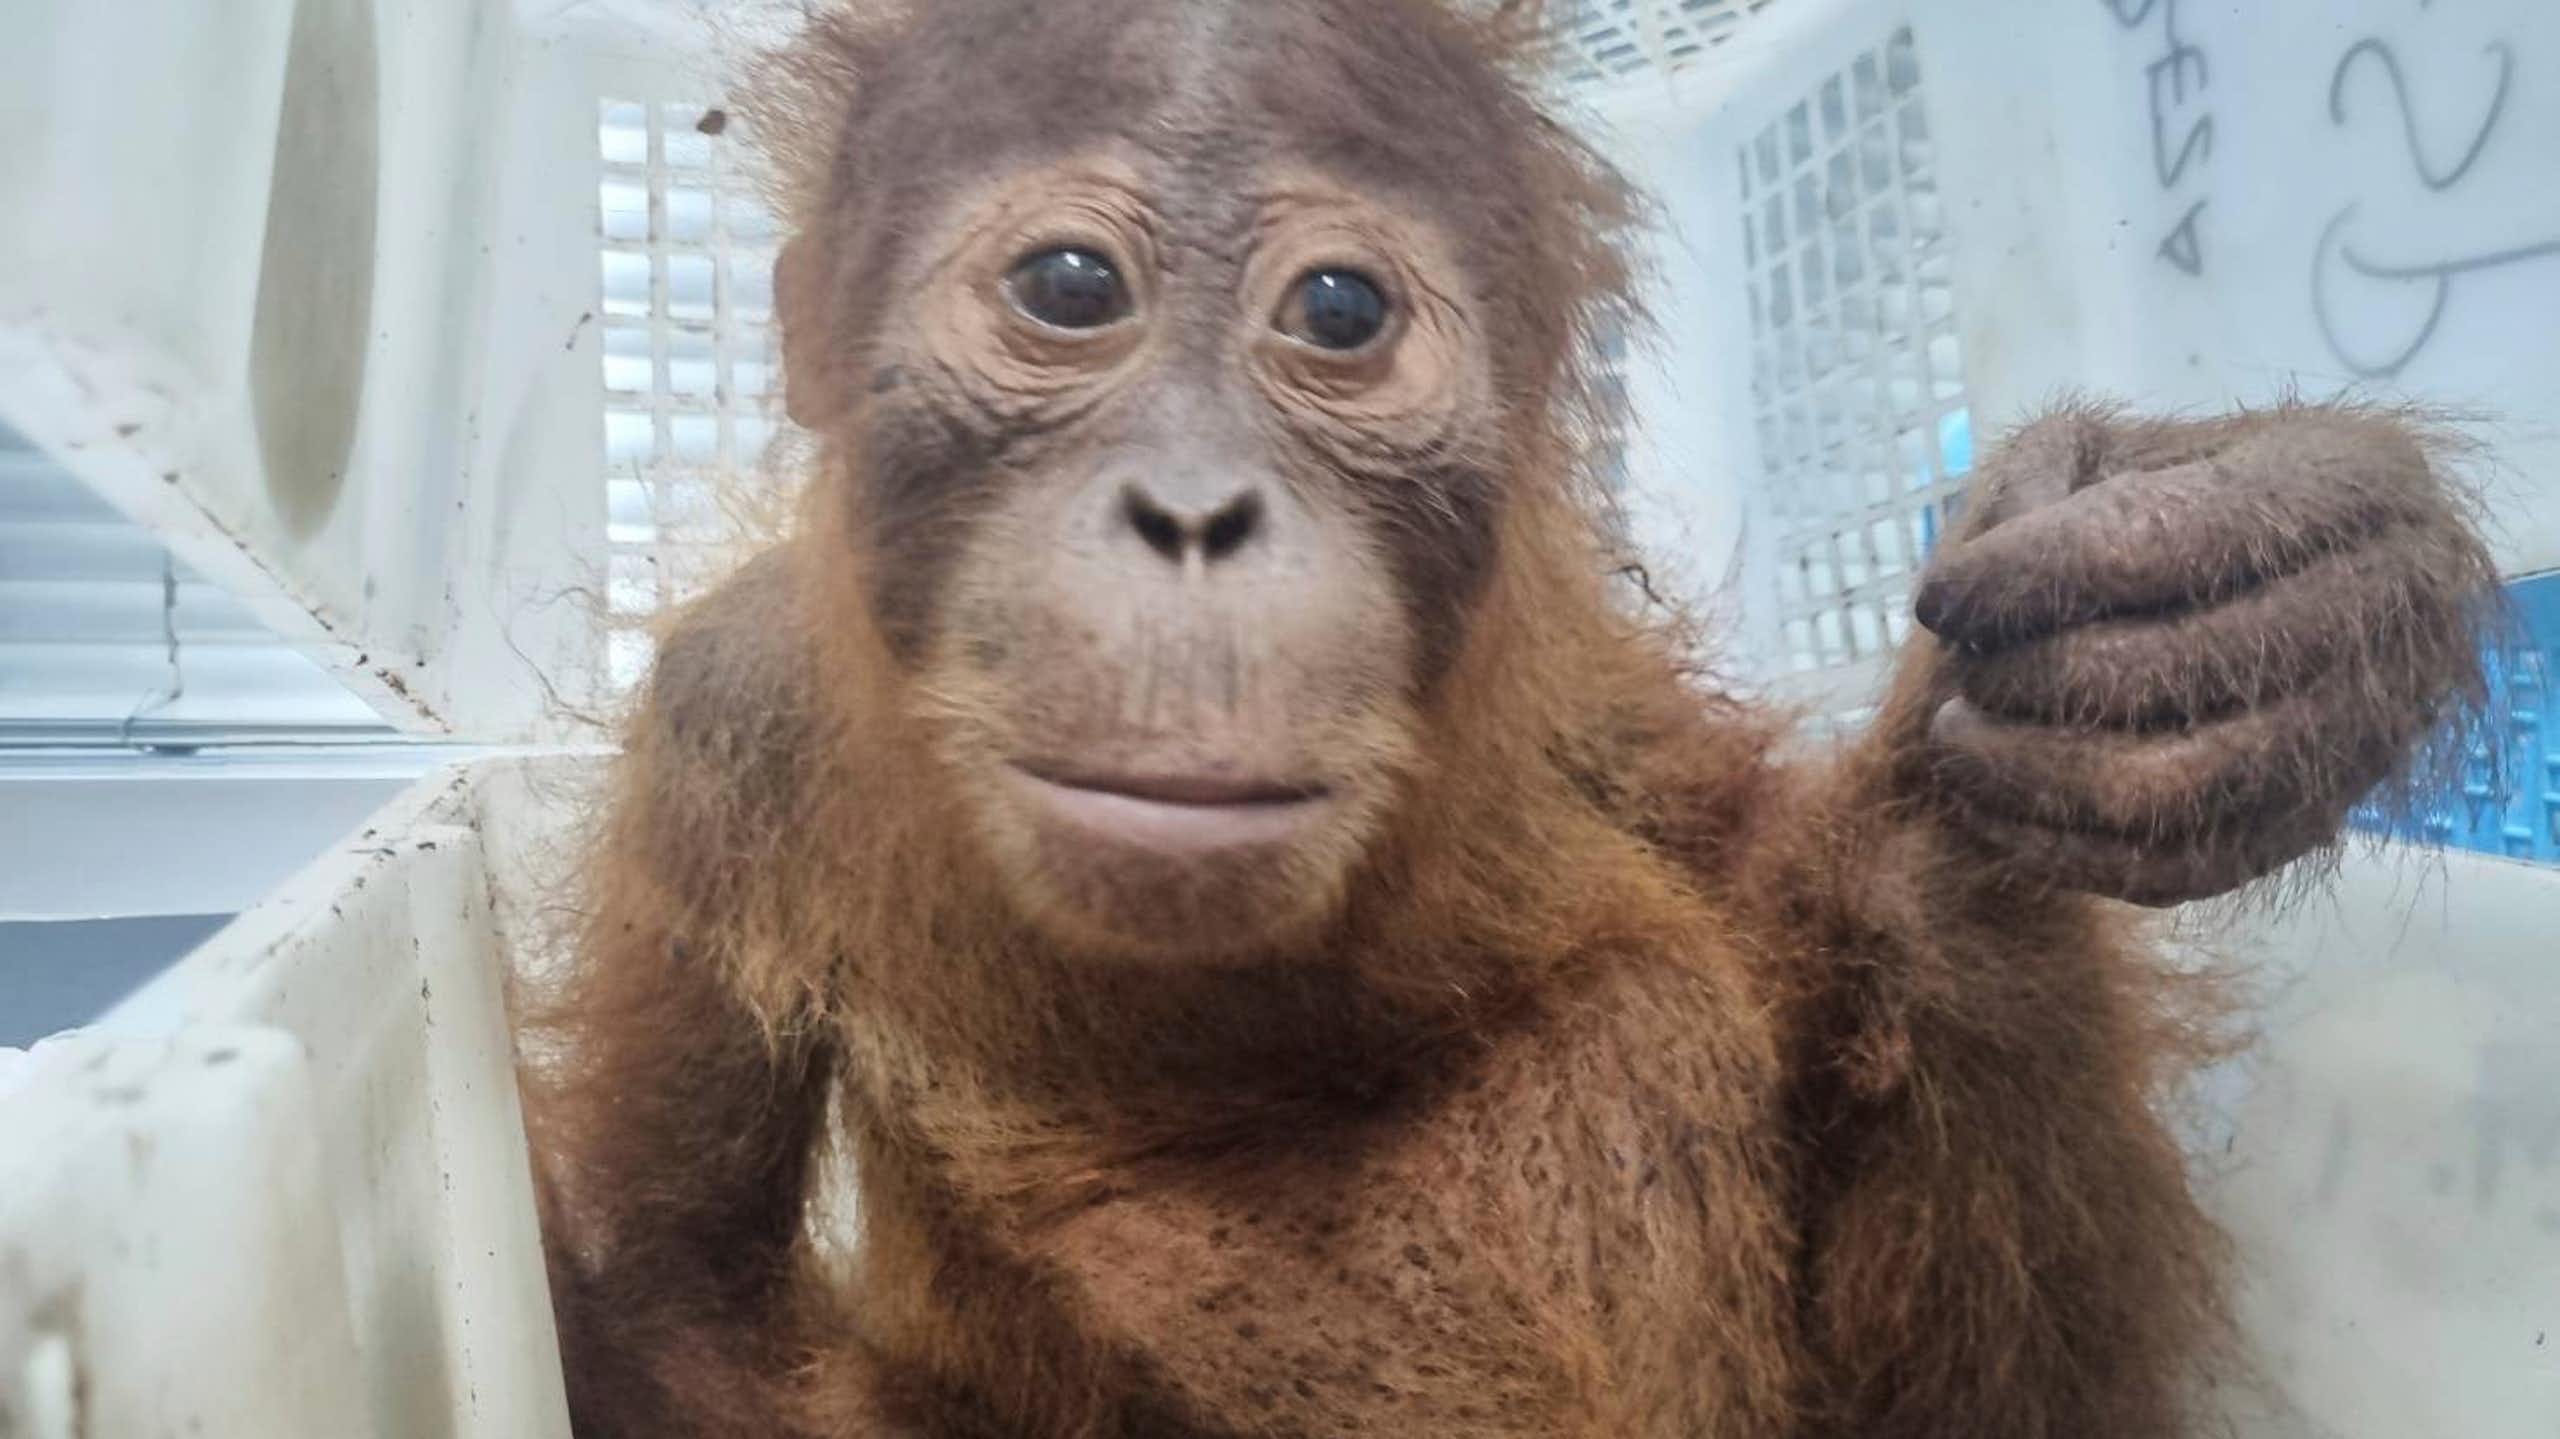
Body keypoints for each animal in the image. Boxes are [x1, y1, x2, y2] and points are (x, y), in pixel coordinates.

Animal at [518, 1, 2501, 1436]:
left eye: (1338, 311)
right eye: (1069, 289)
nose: (1193, 513)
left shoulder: (1574, 692)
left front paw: (2253, 590)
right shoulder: (725, 715)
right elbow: (673, 1274)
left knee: (1633, 1011)